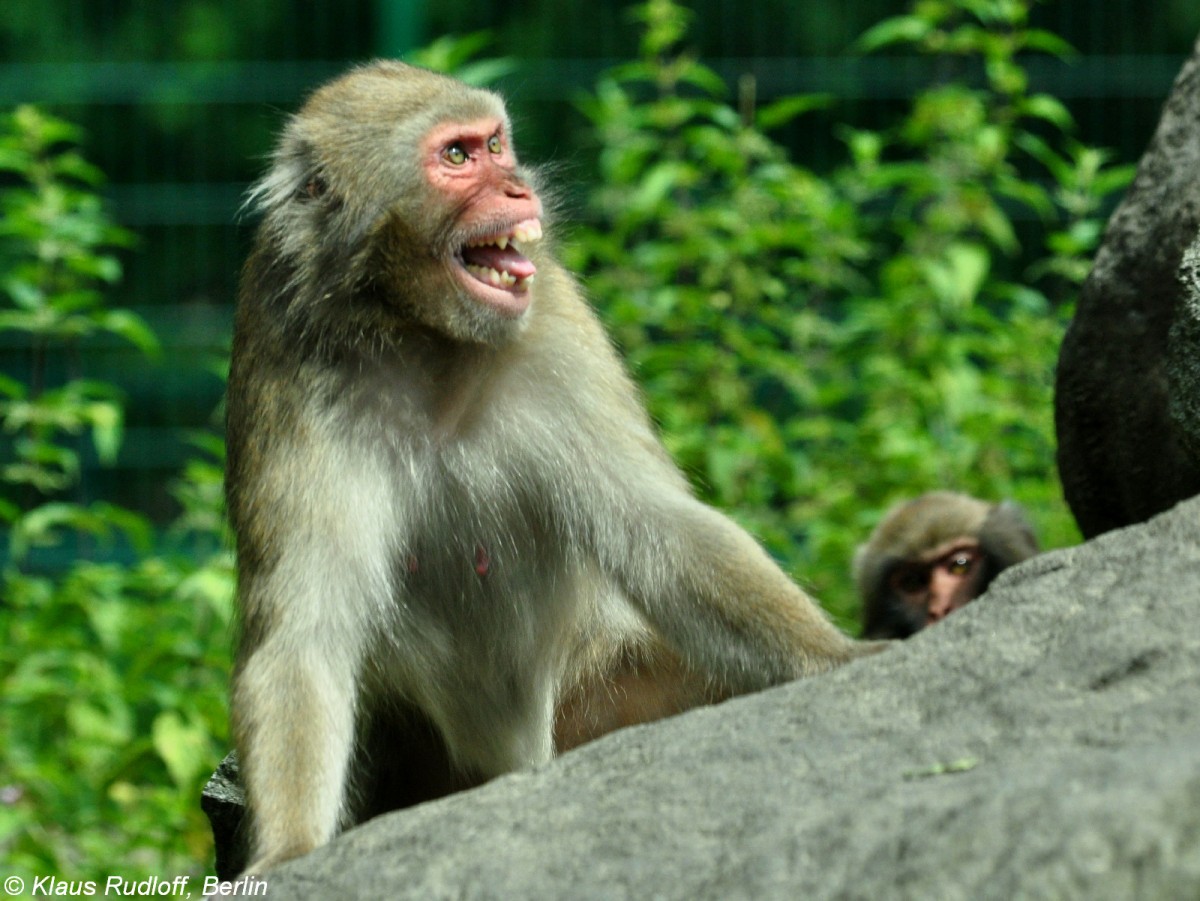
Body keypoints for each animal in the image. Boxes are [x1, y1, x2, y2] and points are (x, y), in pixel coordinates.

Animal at [225, 59, 883, 878]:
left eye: (496, 144)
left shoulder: (558, 323)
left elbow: (656, 524)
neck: (422, 335)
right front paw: (289, 851)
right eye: (456, 156)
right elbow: (303, 629)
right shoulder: (284, 350)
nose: (517, 188)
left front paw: (838, 656)